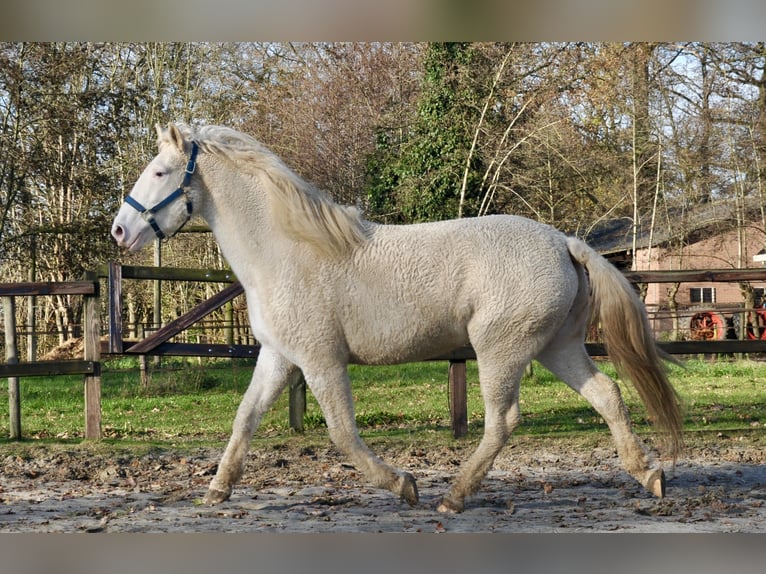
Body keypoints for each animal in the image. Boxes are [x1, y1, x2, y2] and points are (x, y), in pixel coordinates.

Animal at [112, 125, 684, 512]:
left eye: (159, 172)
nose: (119, 231)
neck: (286, 250)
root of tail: (564, 243)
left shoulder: (321, 360)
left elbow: (342, 433)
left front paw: (403, 484)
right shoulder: (278, 357)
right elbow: (245, 418)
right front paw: (217, 488)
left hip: (501, 351)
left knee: (503, 421)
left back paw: (452, 496)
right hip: (555, 346)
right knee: (606, 394)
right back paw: (648, 474)